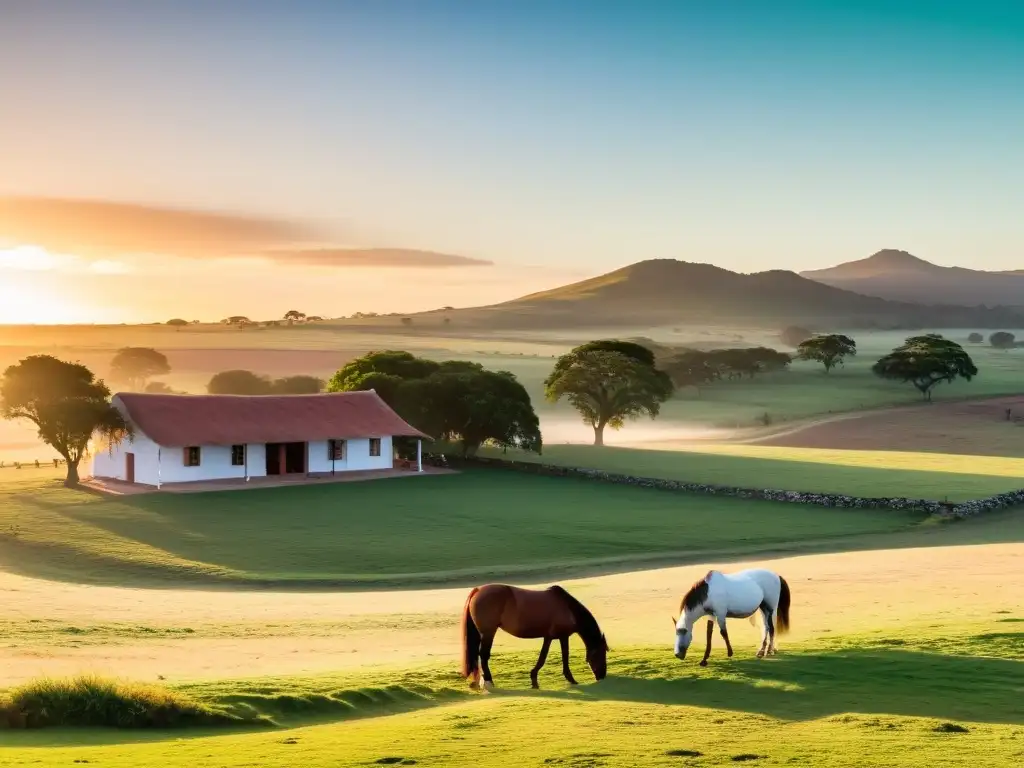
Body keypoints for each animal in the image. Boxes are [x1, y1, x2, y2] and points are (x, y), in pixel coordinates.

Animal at [458, 581, 606, 692]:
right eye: (602, 653)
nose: (602, 676)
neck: (568, 608)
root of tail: (478, 590)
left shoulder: (550, 637)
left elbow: (545, 656)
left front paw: (534, 679)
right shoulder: (562, 636)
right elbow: (558, 657)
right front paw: (570, 679)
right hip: (488, 633)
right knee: (484, 655)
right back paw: (488, 681)